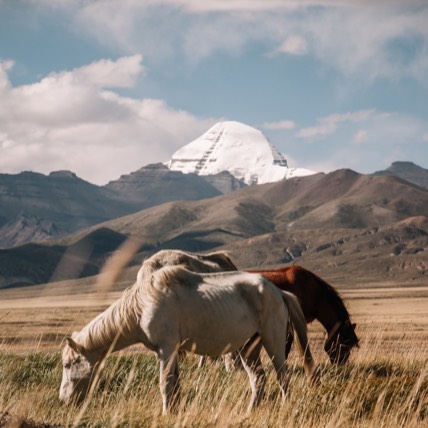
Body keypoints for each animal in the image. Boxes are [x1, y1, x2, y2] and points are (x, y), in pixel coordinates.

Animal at [58, 251, 316, 412]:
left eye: (67, 365)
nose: (63, 399)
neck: (143, 304)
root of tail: (279, 292)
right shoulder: (166, 352)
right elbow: (174, 384)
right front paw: (173, 410)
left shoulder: (167, 348)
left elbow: (165, 384)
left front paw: (165, 412)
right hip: (248, 348)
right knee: (258, 379)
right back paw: (249, 411)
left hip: (273, 343)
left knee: (282, 376)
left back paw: (283, 406)